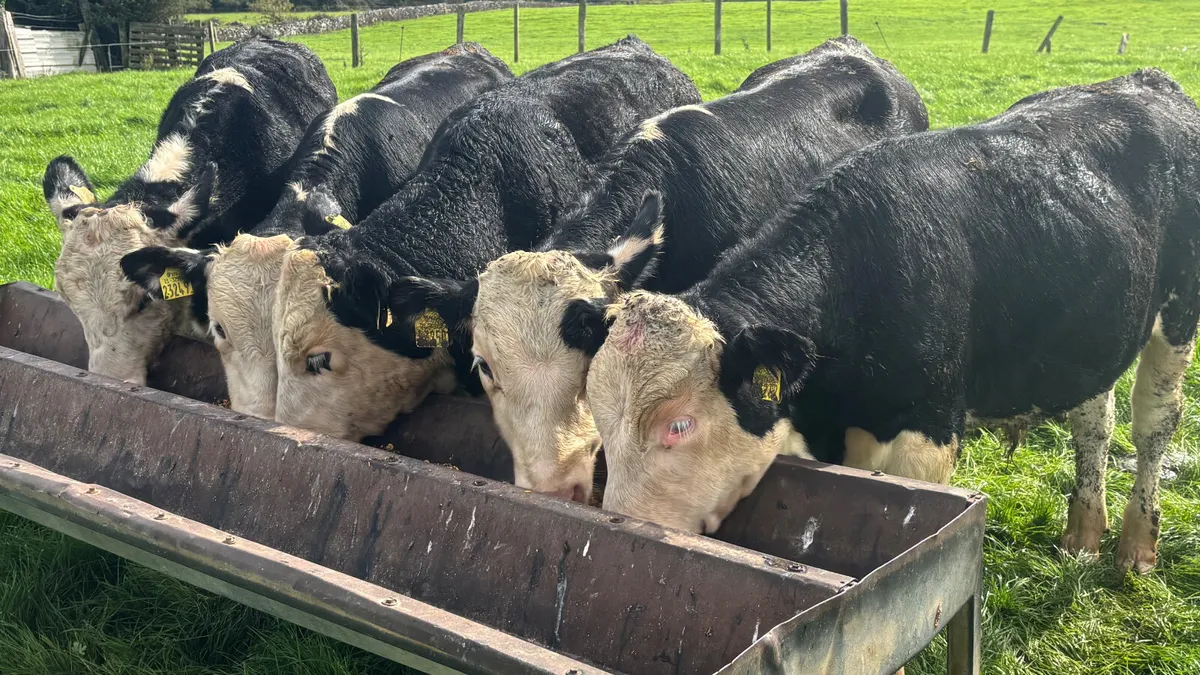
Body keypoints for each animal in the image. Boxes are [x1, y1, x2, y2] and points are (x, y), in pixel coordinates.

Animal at [585, 69, 1200, 575]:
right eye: (599, 421)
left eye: (679, 424)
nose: (620, 530)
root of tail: (1147, 81)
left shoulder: (924, 439)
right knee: (1093, 421)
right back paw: (1083, 535)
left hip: (1177, 315)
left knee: (1154, 420)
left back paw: (1136, 546)